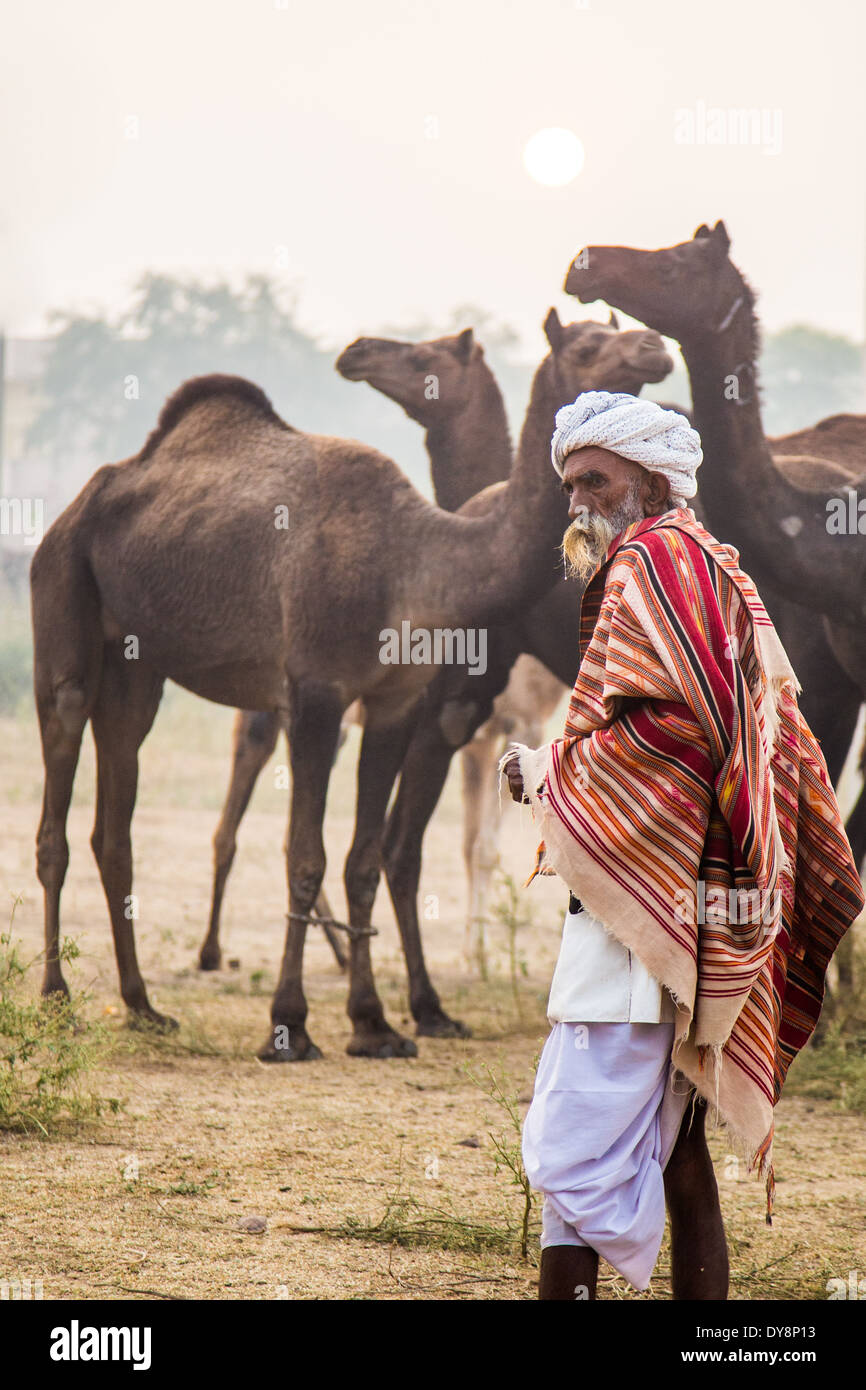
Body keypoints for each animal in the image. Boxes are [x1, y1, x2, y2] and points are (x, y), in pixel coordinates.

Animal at [32, 312, 670, 1050]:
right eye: (589, 344)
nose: (656, 347)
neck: (418, 559)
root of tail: (75, 506)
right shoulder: (318, 691)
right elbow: (305, 857)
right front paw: (290, 1024)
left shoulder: (396, 701)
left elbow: (365, 857)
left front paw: (373, 1023)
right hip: (64, 589)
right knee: (60, 780)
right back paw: (56, 995)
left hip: (136, 663)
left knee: (117, 813)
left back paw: (142, 1005)